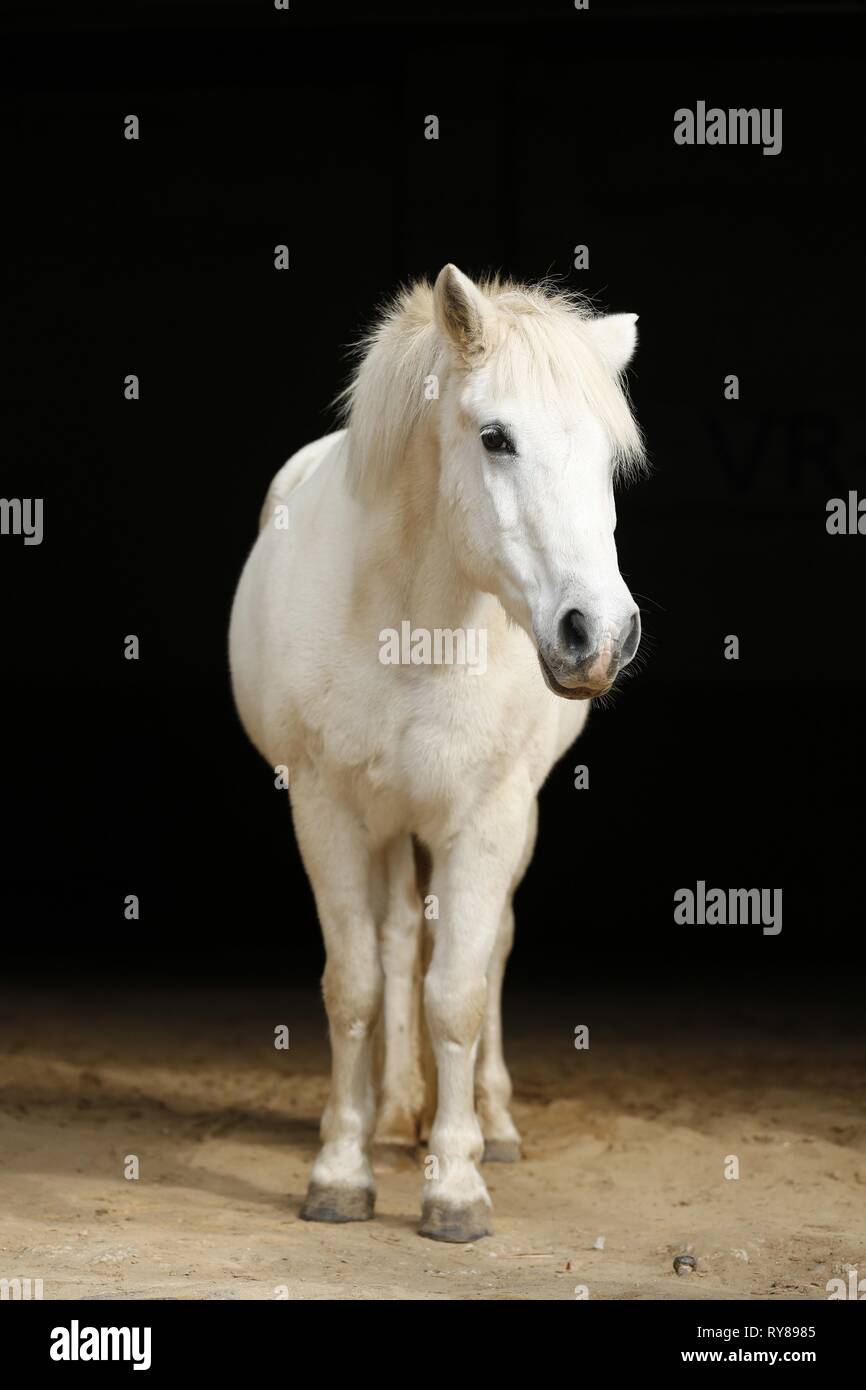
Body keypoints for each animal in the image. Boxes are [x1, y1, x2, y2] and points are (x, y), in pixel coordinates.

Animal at [228, 264, 647, 1243]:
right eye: (496, 437)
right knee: (393, 948)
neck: (412, 624)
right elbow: (356, 984)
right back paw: (391, 1116)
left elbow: (455, 989)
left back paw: (490, 1125)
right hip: (389, 827)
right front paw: (341, 1171)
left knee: (488, 951)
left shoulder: (487, 818)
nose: (600, 636)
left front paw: (455, 1185)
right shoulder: (330, 813)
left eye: (608, 460)